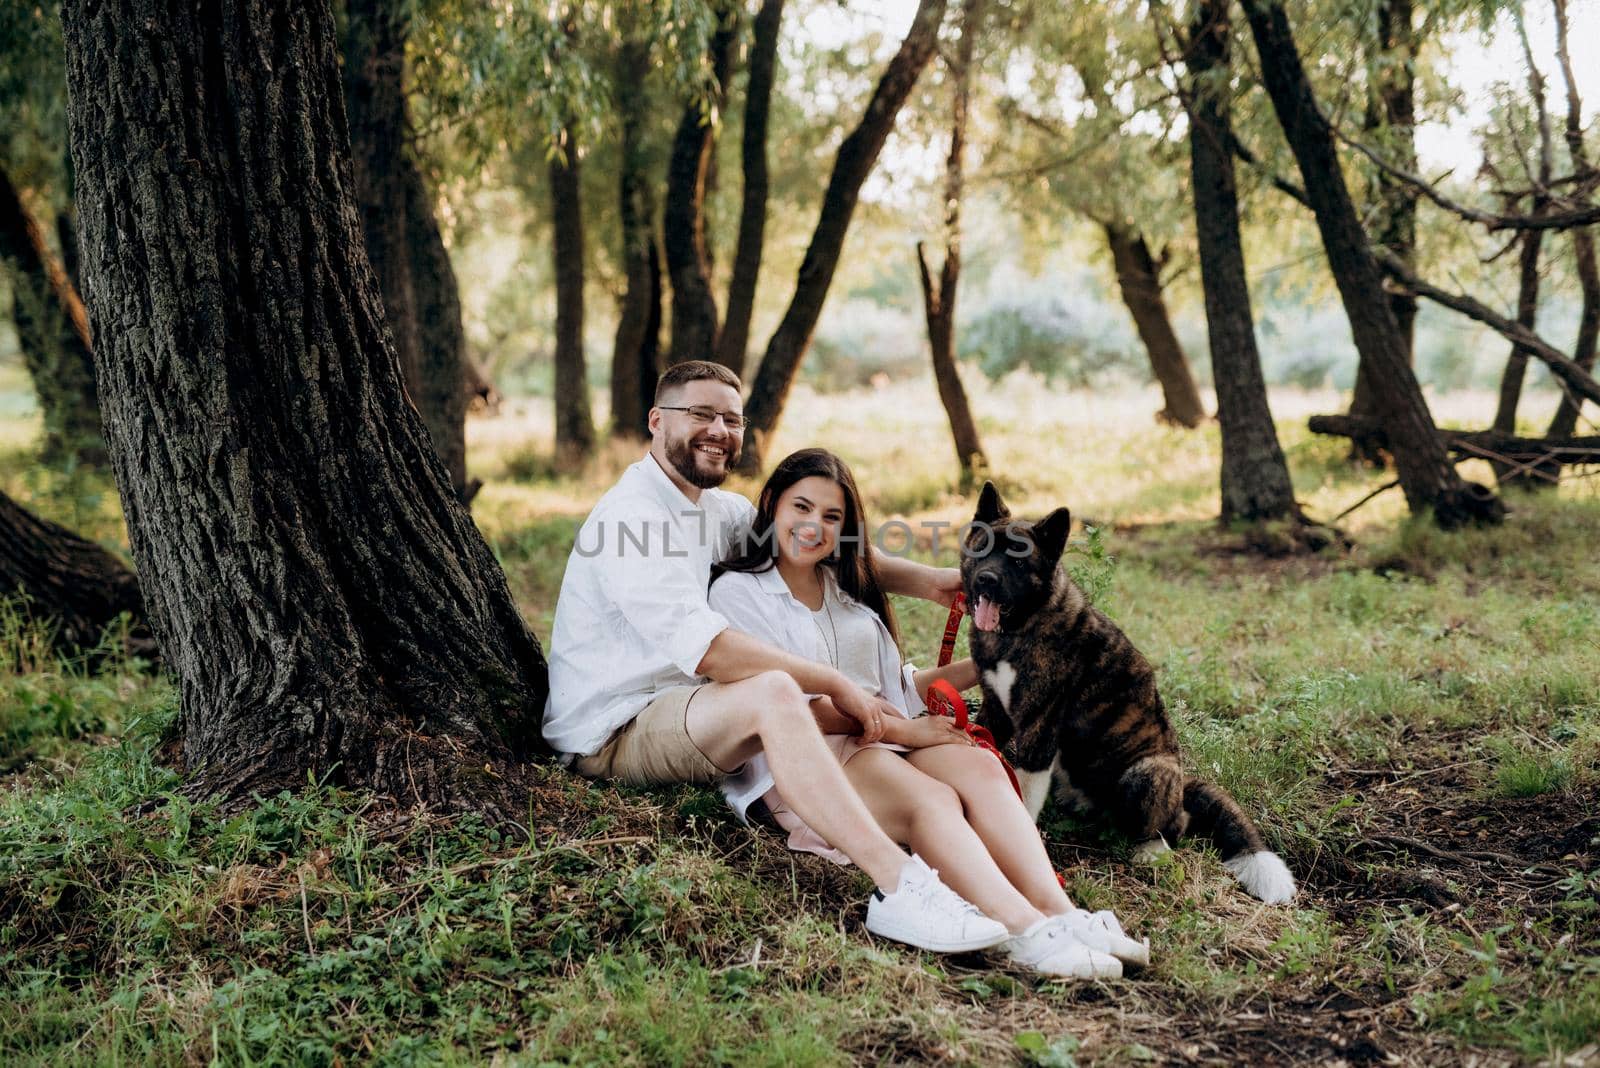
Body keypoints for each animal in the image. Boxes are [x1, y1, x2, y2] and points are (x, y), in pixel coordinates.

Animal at [953, 482, 1292, 901]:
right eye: (982, 549)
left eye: (1018, 562)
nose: (986, 579)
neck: (1019, 629)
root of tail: (1183, 783)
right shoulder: (994, 712)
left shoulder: (1038, 732)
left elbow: (1024, 798)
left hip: (1147, 773)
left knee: (1175, 824)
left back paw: (1150, 850)